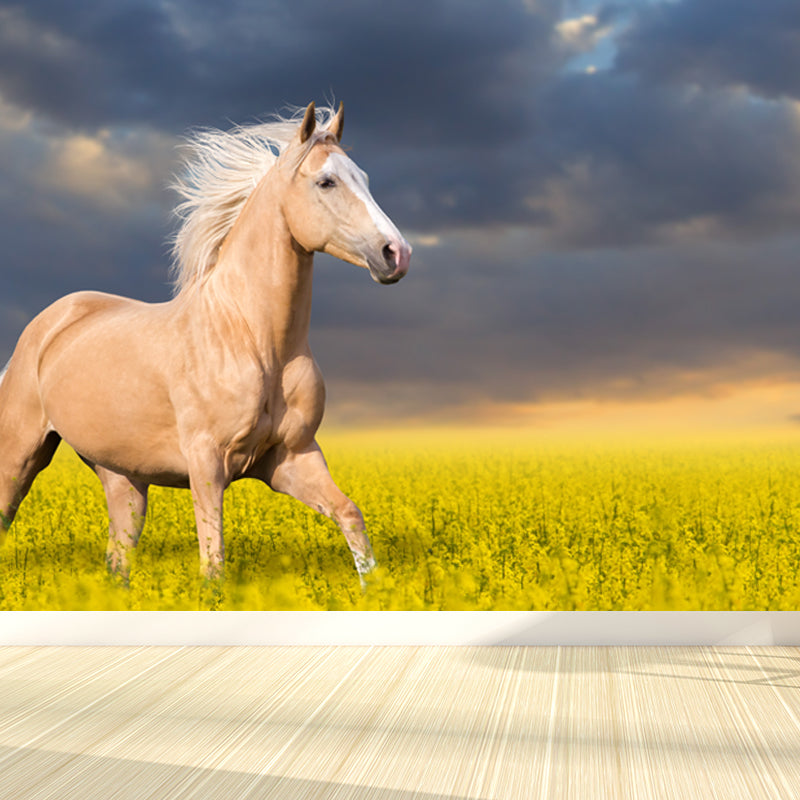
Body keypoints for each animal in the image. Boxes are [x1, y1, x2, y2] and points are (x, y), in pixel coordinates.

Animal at [0, 101, 411, 585]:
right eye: (326, 181)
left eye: (362, 176)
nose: (396, 254)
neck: (253, 340)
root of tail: (47, 324)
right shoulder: (207, 462)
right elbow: (213, 562)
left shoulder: (292, 459)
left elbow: (351, 516)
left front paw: (374, 589)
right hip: (19, 455)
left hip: (123, 477)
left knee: (119, 555)